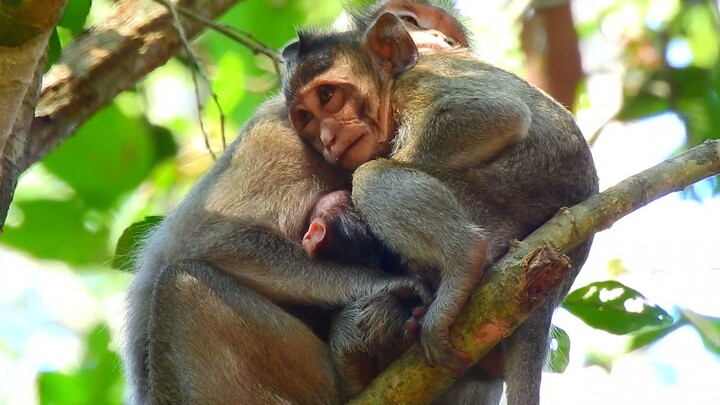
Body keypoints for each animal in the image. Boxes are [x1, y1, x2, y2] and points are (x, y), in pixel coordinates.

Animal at [121, 1, 470, 402]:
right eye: (410, 19)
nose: (439, 38)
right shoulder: (277, 138)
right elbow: (209, 238)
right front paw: (383, 287)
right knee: (181, 286)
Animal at [284, 8, 600, 404]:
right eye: (305, 118)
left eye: (327, 95)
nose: (326, 138)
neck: (392, 86)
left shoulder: (419, 83)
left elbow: (499, 115)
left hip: (503, 198)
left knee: (373, 177)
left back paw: (465, 257)